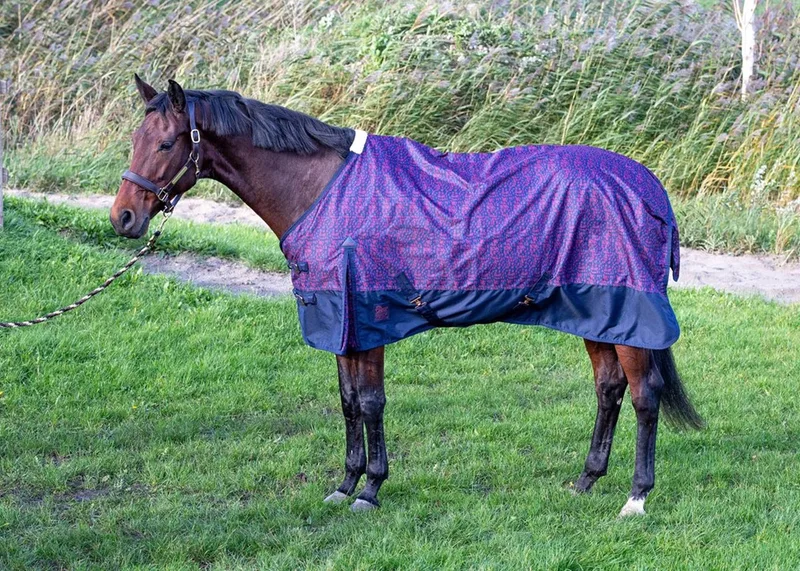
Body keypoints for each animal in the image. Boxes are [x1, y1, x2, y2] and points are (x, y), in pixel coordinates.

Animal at [111, 76, 703, 517]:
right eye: (134, 141)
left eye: (166, 144)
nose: (124, 218)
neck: (320, 191)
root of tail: (649, 189)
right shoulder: (341, 325)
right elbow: (348, 402)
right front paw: (345, 484)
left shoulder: (366, 318)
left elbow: (371, 402)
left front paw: (371, 489)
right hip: (596, 314)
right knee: (609, 389)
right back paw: (585, 481)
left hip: (628, 314)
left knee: (644, 395)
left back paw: (635, 497)